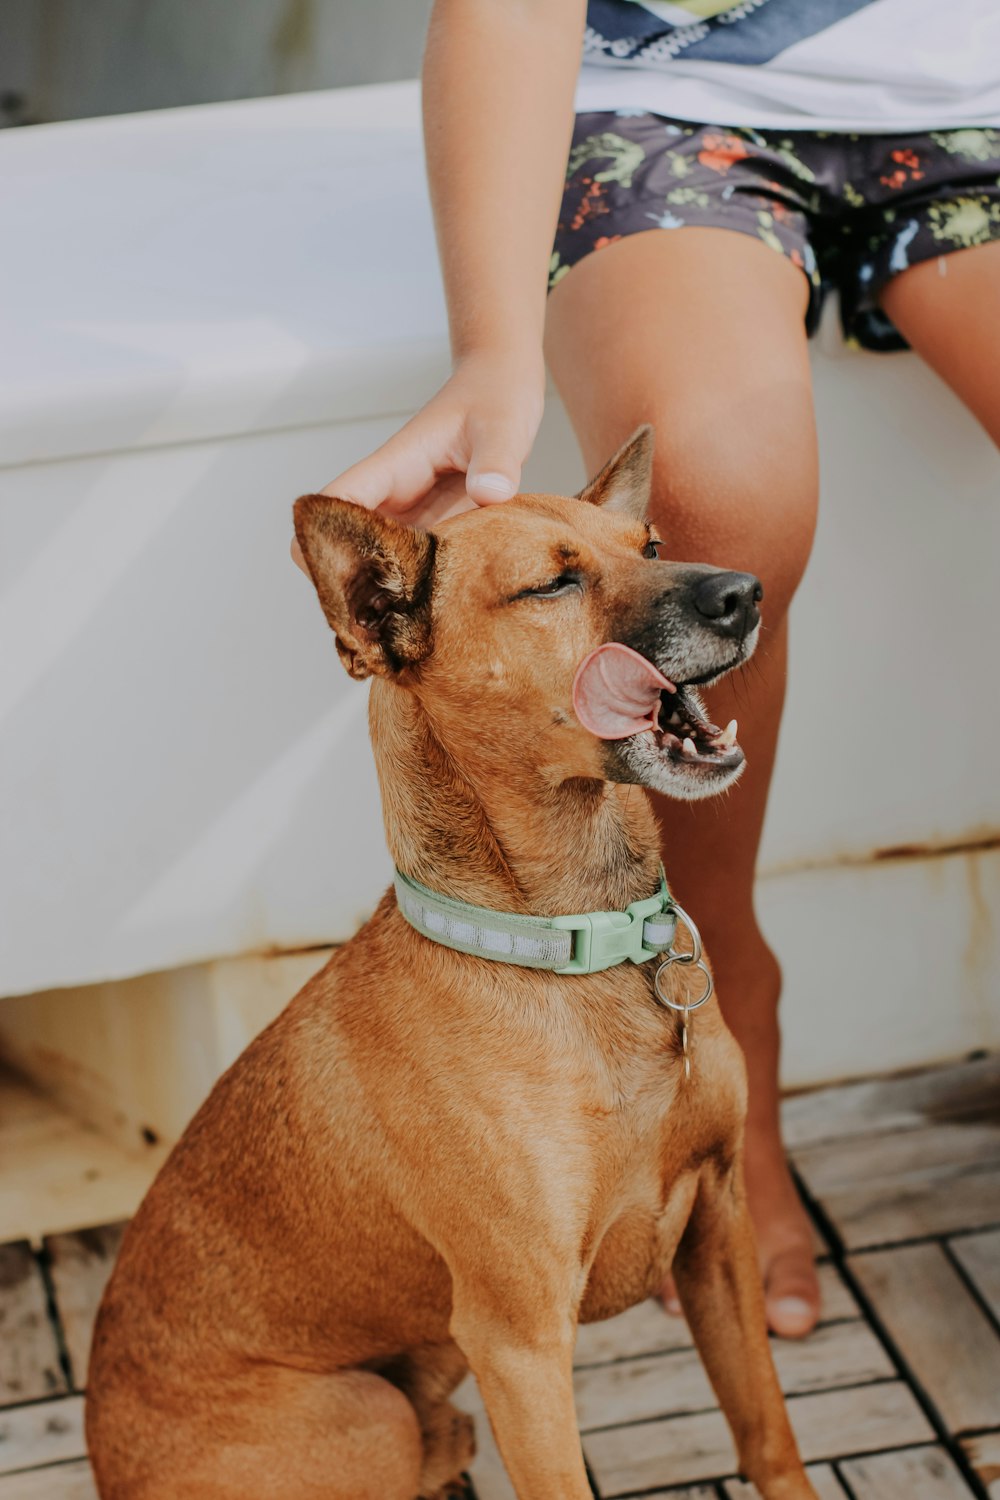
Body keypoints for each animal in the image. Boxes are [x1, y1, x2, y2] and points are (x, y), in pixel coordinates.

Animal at [86, 429, 821, 1494]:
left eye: (650, 543)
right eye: (553, 584)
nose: (745, 592)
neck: (575, 951)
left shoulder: (719, 1228)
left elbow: (766, 1430)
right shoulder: (520, 1343)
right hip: (370, 1414)